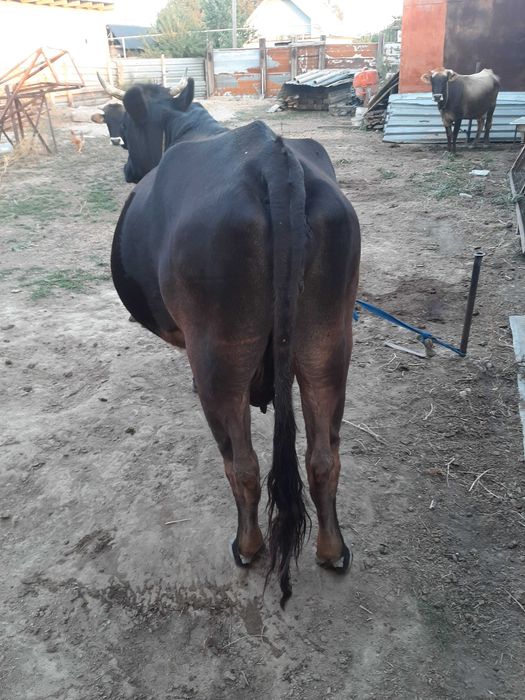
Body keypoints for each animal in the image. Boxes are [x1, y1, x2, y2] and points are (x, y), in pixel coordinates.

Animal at [103, 77, 360, 606]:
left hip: (220, 358)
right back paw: (332, 550)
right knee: (324, 457)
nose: (127, 169)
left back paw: (247, 546)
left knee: (242, 465)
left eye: (127, 131)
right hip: (328, 343)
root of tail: (271, 159)